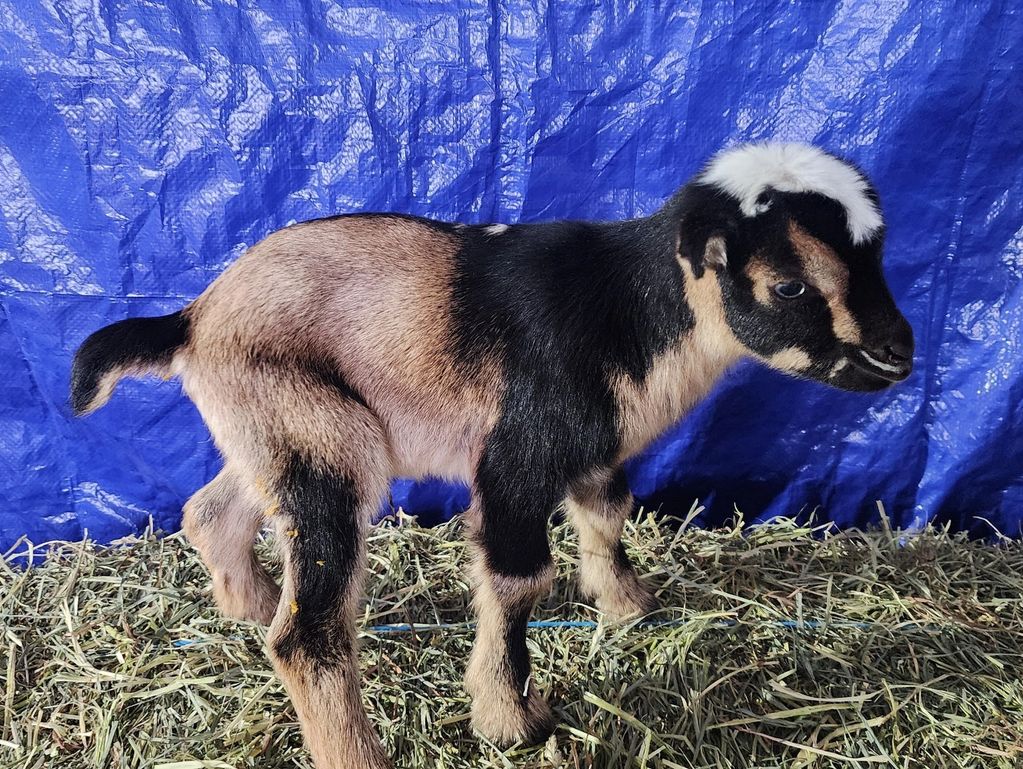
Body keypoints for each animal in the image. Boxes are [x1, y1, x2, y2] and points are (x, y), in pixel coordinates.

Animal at [71, 142, 914, 767]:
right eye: (789, 284)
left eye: (877, 253)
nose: (897, 353)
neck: (630, 307)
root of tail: (194, 318)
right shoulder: (517, 454)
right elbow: (518, 580)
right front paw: (512, 719)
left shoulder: (592, 445)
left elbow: (607, 513)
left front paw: (628, 608)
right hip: (323, 442)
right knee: (306, 632)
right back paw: (349, 740)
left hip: (274, 432)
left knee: (212, 511)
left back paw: (247, 607)